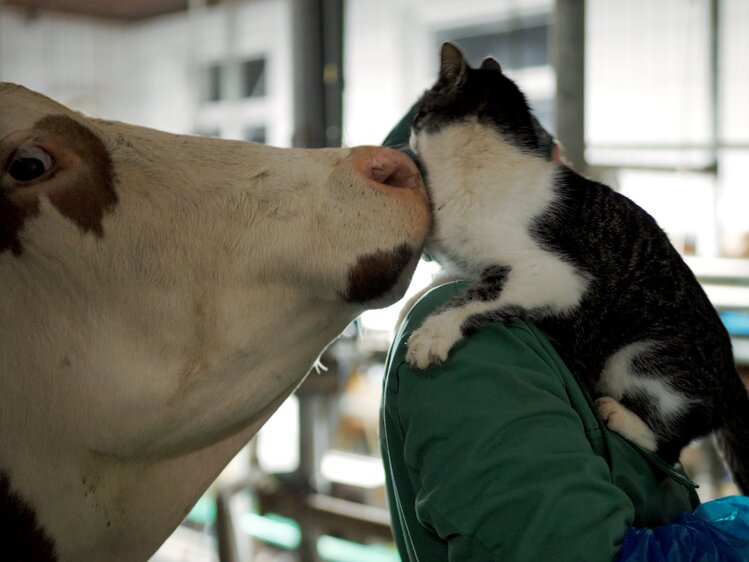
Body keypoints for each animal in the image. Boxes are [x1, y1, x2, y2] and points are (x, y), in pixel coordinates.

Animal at [404, 43, 748, 490]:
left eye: (421, 110)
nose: (410, 130)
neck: (480, 171)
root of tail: (733, 382)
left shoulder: (557, 273)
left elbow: (478, 295)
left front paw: (432, 334)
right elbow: (463, 279)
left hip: (641, 356)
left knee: (671, 445)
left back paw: (621, 415)